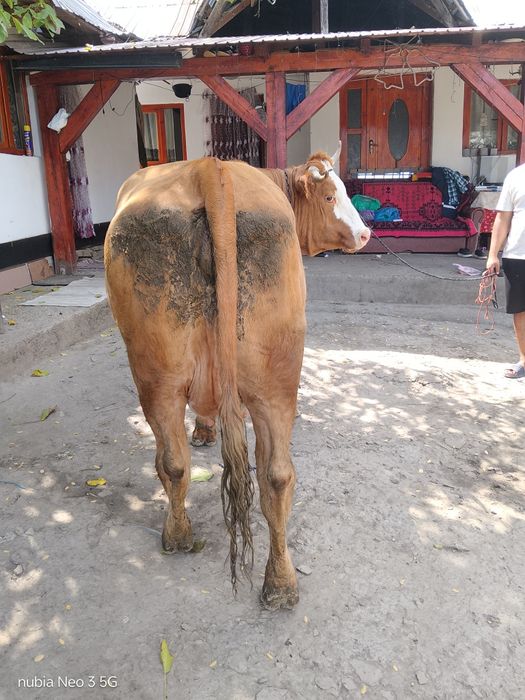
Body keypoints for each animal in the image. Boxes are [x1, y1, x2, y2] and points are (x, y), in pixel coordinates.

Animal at [104, 149, 370, 609]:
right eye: (331, 196)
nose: (366, 233)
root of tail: (209, 169)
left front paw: (204, 430)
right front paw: (205, 430)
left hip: (165, 372)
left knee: (184, 463)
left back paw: (190, 540)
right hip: (262, 374)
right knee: (270, 474)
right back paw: (276, 581)